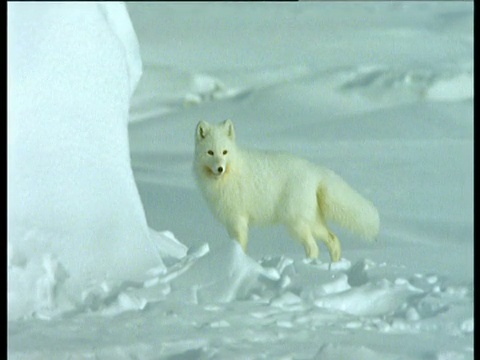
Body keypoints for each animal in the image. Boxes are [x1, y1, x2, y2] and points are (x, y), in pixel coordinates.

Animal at [192, 119, 378, 262]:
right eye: (210, 152)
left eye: (224, 152)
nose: (220, 168)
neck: (229, 175)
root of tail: (315, 171)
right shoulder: (230, 222)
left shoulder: (238, 219)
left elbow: (240, 245)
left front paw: (238, 261)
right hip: (312, 221)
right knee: (333, 240)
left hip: (296, 224)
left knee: (313, 247)